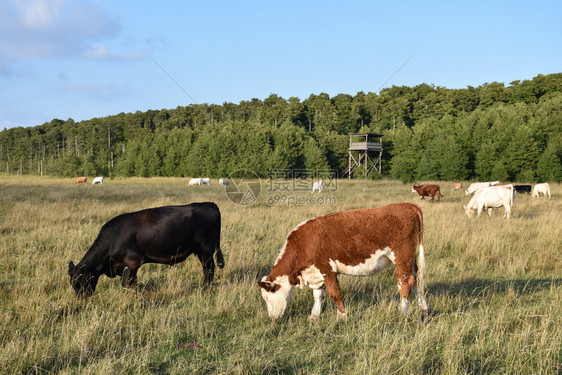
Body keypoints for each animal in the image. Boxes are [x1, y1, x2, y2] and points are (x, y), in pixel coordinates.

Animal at [70, 203, 225, 300]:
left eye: (80, 281)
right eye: (72, 283)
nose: (81, 299)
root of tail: (209, 204)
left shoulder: (133, 261)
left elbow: (126, 283)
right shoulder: (123, 266)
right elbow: (132, 283)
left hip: (205, 250)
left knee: (209, 269)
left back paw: (205, 290)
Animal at [256, 204, 426, 322]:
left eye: (267, 297)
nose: (272, 318)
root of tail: (407, 205)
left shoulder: (327, 269)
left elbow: (334, 293)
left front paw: (342, 316)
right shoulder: (316, 273)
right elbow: (318, 295)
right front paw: (314, 316)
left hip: (402, 257)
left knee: (405, 283)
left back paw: (402, 313)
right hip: (410, 260)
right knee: (417, 281)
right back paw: (423, 310)